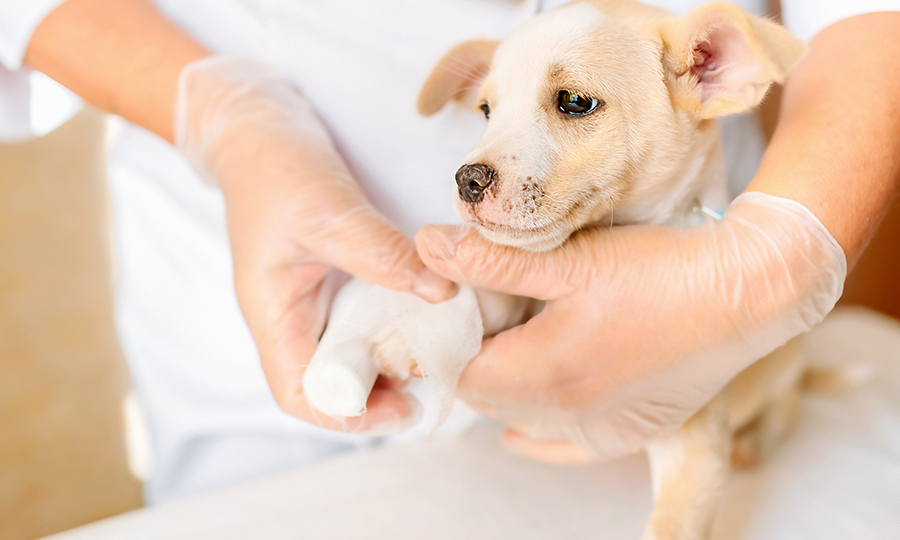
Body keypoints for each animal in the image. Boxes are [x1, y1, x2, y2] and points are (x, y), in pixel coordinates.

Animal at [420, 1, 808, 540]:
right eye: (485, 112)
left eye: (574, 101)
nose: (467, 181)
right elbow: (489, 303)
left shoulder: (693, 446)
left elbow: (673, 525)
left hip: (789, 358)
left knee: (786, 406)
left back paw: (755, 443)